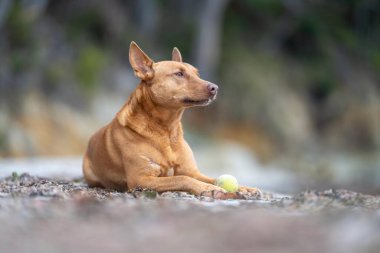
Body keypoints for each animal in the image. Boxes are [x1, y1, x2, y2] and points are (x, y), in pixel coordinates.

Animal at [83, 41, 262, 199]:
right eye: (179, 74)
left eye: (197, 73)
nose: (215, 88)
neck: (167, 129)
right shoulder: (141, 179)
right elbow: (182, 178)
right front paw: (209, 189)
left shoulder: (192, 171)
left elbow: (211, 177)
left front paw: (244, 188)